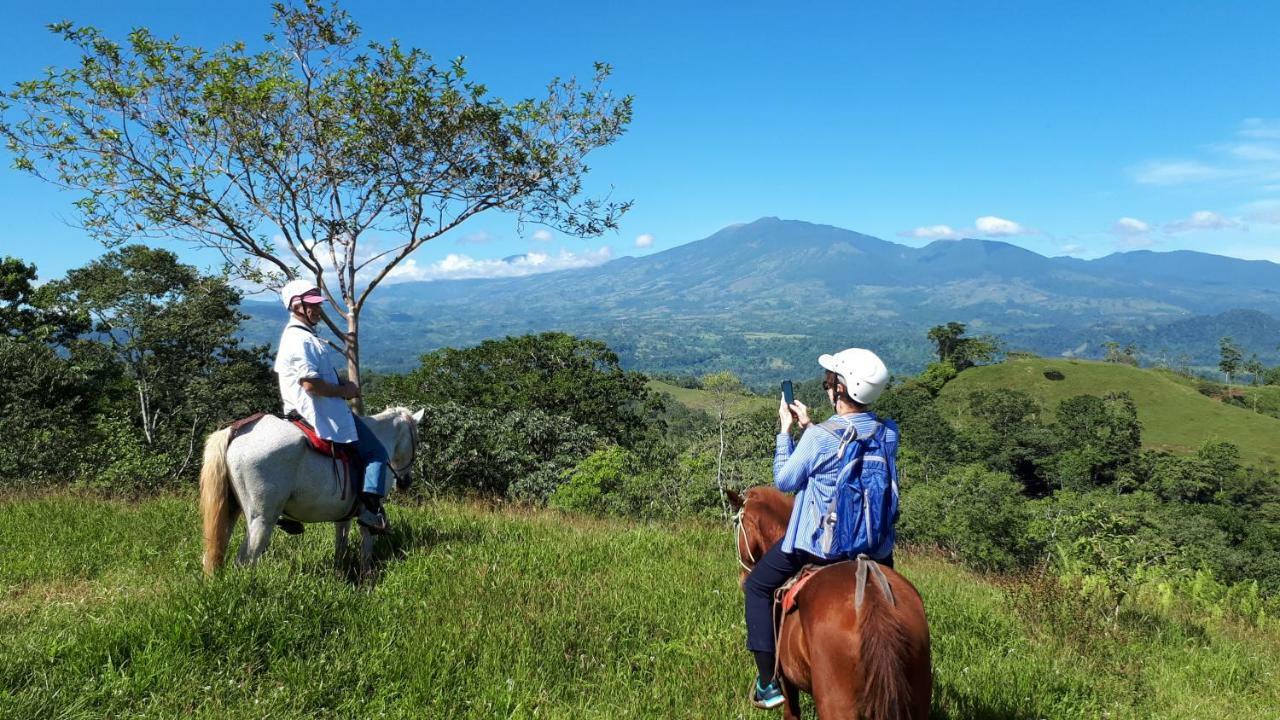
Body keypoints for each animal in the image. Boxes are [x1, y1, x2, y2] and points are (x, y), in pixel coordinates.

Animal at [197, 407, 422, 573]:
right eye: (416, 441)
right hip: (261, 520)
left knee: (214, 553)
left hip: (228, 511)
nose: (405, 481)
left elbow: (341, 543)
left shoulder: (344, 514)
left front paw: (340, 573)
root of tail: (236, 431)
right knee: (246, 560)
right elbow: (366, 549)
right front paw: (366, 579)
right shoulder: (369, 514)